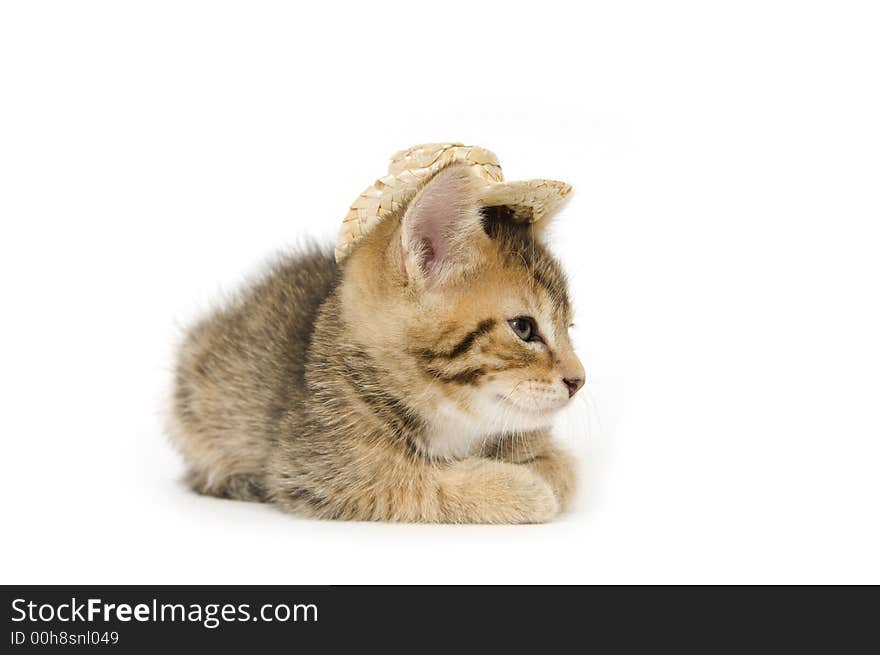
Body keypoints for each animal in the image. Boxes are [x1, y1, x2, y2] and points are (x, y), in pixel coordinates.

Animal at [170, 164, 584, 524]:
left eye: (569, 326)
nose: (578, 381)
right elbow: (412, 483)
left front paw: (542, 467)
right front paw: (521, 490)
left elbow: (566, 468)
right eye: (524, 329)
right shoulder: (315, 468)